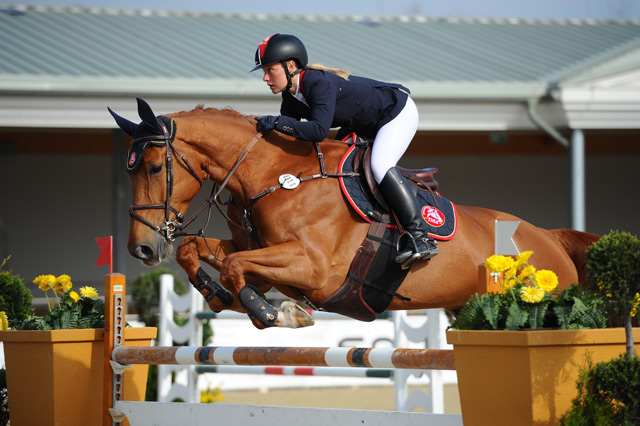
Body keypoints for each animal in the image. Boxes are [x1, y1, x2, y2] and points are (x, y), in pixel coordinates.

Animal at [109, 97, 600, 330]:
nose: (142, 250)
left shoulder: (313, 268)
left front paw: (274, 314)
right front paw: (218, 296)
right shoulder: (262, 256)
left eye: (153, 168)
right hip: (468, 309)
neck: (274, 173)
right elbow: (197, 250)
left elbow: (233, 266)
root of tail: (550, 237)